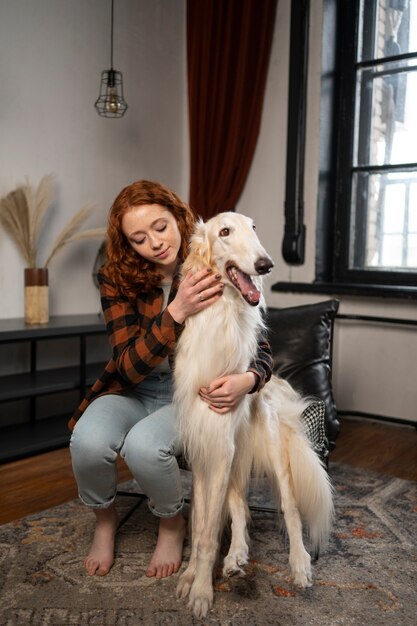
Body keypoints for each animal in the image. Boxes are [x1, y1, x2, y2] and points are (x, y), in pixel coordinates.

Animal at [174, 212, 334, 616]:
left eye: (254, 228)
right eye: (224, 232)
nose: (266, 264)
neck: (222, 317)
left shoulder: (219, 444)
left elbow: (207, 534)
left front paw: (201, 591)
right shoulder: (203, 447)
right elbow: (200, 525)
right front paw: (190, 576)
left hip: (273, 449)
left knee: (289, 507)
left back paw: (299, 563)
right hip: (233, 458)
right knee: (241, 508)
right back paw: (235, 556)